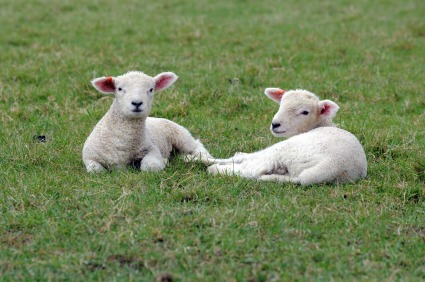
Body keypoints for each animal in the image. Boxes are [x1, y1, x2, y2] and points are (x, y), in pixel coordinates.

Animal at [82, 70, 212, 172]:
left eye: (151, 89)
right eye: (119, 89)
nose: (137, 103)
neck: (124, 144)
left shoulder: (152, 149)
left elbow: (151, 167)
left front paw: (163, 162)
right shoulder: (89, 157)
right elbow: (96, 170)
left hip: (181, 136)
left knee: (196, 145)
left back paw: (204, 158)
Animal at [207, 88, 366, 185]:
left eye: (305, 112)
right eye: (280, 104)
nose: (275, 124)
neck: (321, 125)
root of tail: (330, 167)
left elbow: (246, 157)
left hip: (286, 150)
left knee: (251, 169)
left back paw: (214, 168)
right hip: (294, 173)